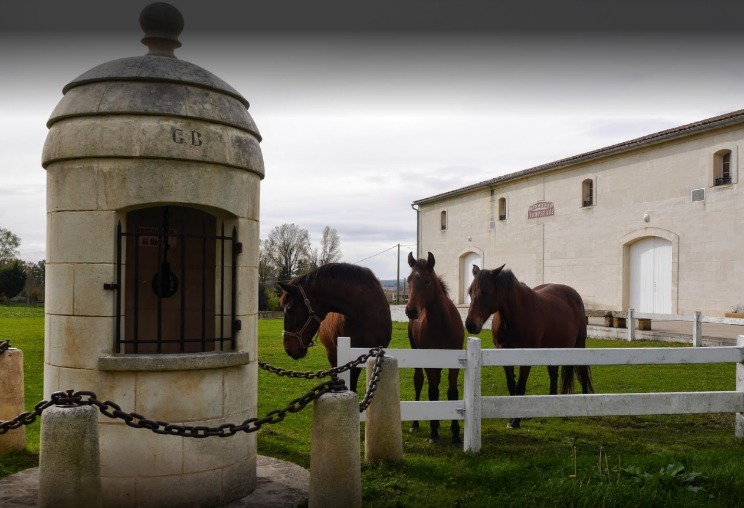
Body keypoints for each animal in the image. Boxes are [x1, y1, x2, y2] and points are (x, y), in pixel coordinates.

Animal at [406, 252, 464, 442]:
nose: (411, 311)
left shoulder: (455, 364)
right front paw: (433, 434)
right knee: (419, 382)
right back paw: (416, 424)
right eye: (408, 280)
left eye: (428, 281)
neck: (442, 325)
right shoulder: (429, 363)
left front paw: (455, 434)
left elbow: (452, 393)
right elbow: (432, 392)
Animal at [464, 266, 592, 428]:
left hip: (580, 344)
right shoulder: (504, 353)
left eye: (486, 291)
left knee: (582, 371)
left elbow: (520, 386)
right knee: (553, 375)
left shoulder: (526, 357)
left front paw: (516, 421)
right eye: (470, 291)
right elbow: (511, 385)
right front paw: (511, 418)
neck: (514, 317)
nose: (470, 324)